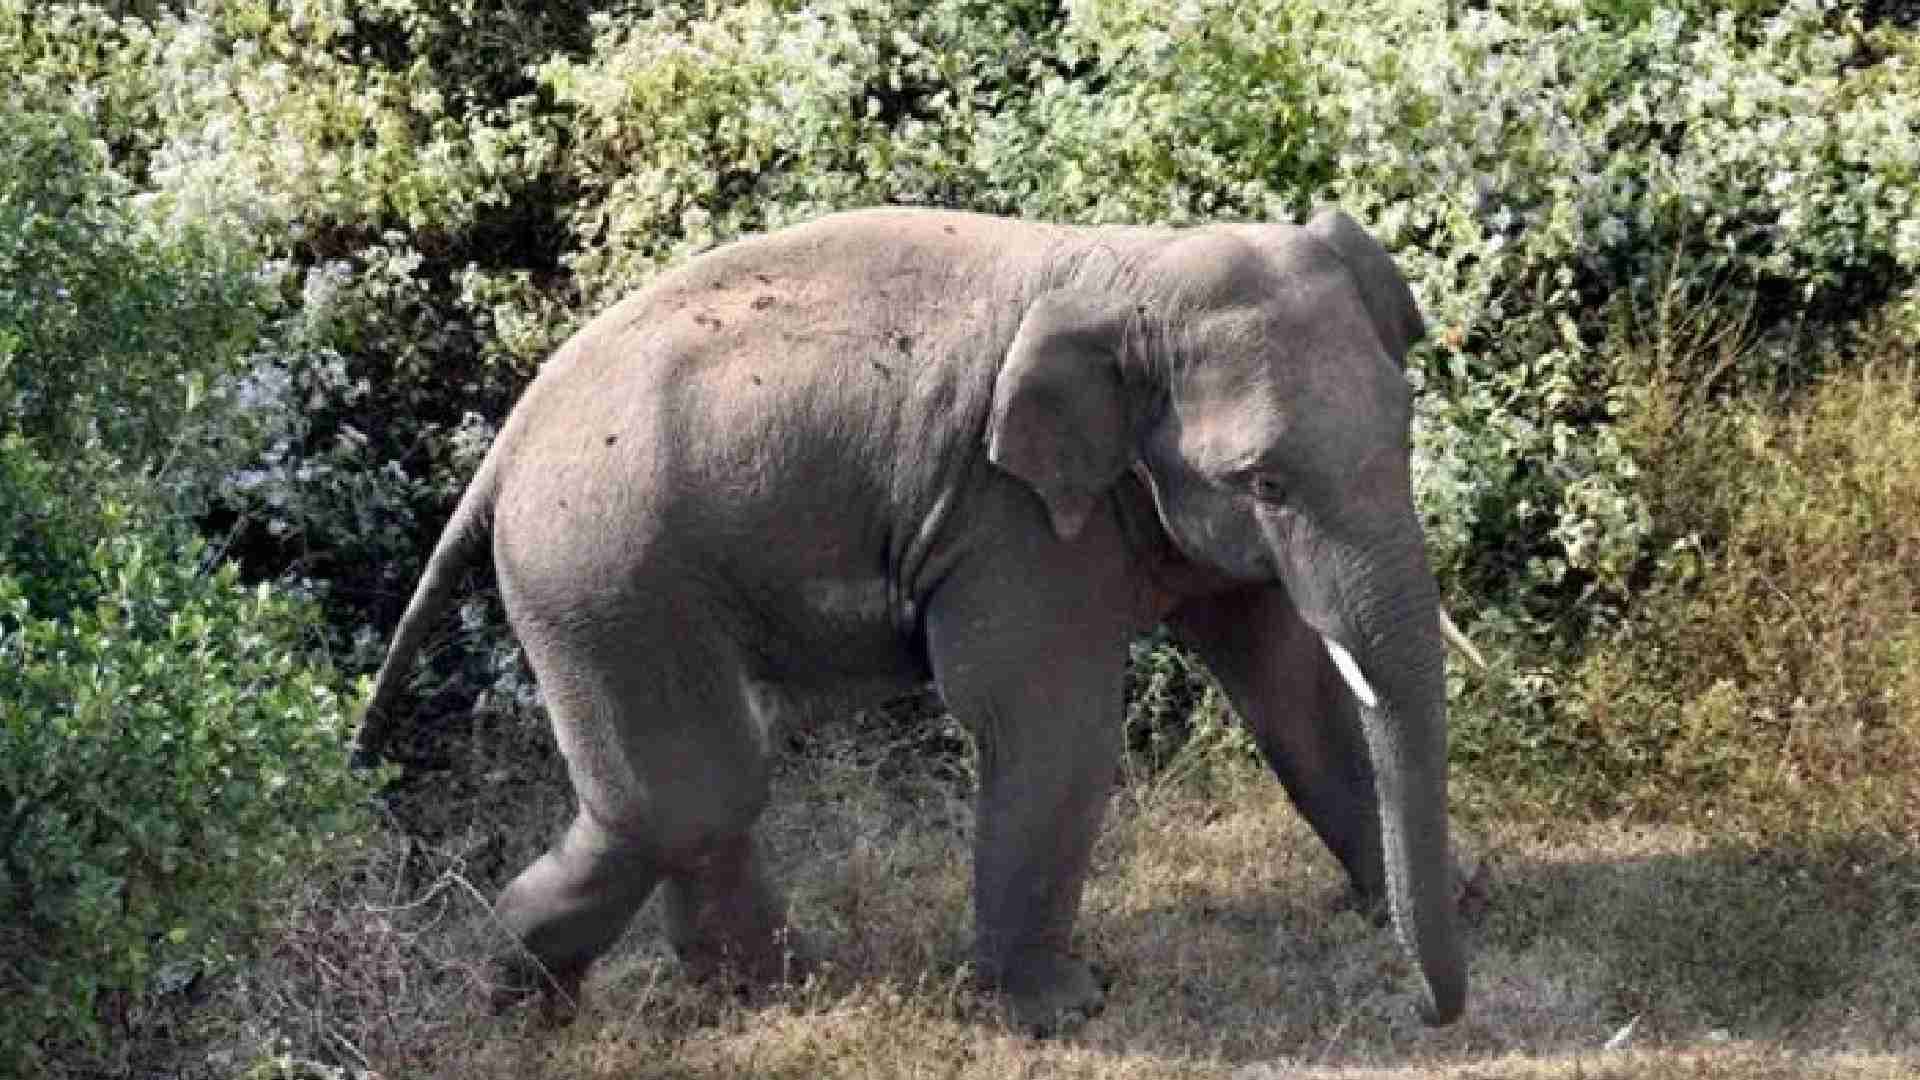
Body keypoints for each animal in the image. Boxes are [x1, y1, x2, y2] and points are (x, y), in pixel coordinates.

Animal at [353, 206, 1469, 1031]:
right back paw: (555, 1005)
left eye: (1407, 429)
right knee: (690, 796)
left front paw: (1433, 901)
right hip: (605, 571)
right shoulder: (1009, 520)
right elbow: (1049, 723)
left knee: (685, 800)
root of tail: (506, 446)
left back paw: (737, 996)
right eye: (1266, 481)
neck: (1134, 265)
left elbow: (1287, 682)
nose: (1430, 1013)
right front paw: (1063, 1013)